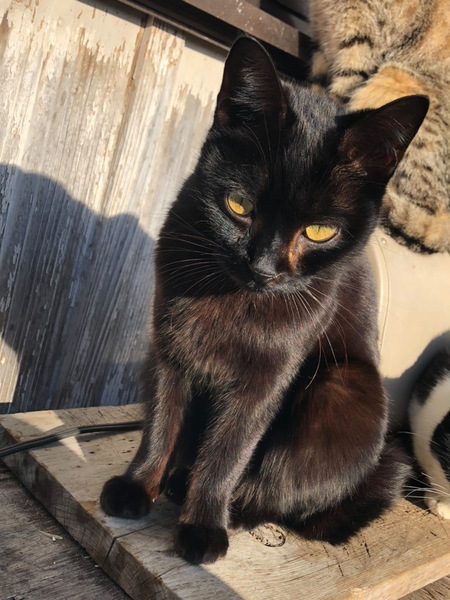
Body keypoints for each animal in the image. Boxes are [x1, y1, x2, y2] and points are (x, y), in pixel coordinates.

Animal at [100, 36, 428, 565]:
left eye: (319, 232)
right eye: (239, 206)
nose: (264, 267)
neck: (233, 296)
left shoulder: (265, 379)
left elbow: (228, 451)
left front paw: (203, 526)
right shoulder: (170, 347)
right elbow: (162, 422)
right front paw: (138, 485)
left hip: (345, 389)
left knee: (283, 494)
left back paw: (221, 506)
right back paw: (173, 481)